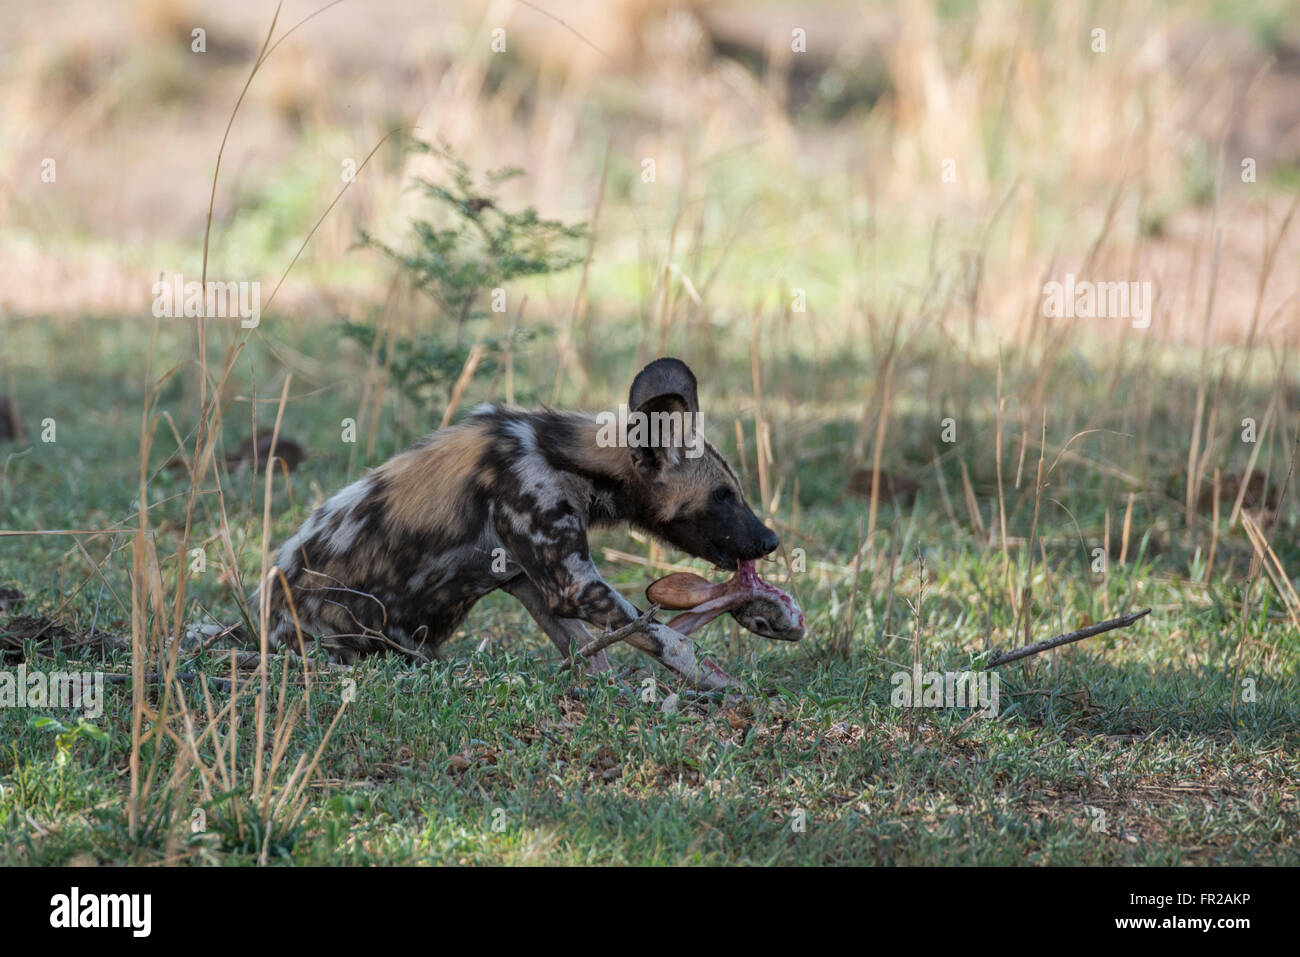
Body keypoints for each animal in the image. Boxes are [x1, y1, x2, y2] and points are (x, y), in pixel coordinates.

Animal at [258, 358, 774, 686]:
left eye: (736, 491)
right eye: (723, 496)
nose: (771, 540)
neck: (561, 457)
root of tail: (265, 625)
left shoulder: (532, 584)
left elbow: (589, 652)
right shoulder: (577, 586)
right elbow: (667, 638)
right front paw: (719, 683)